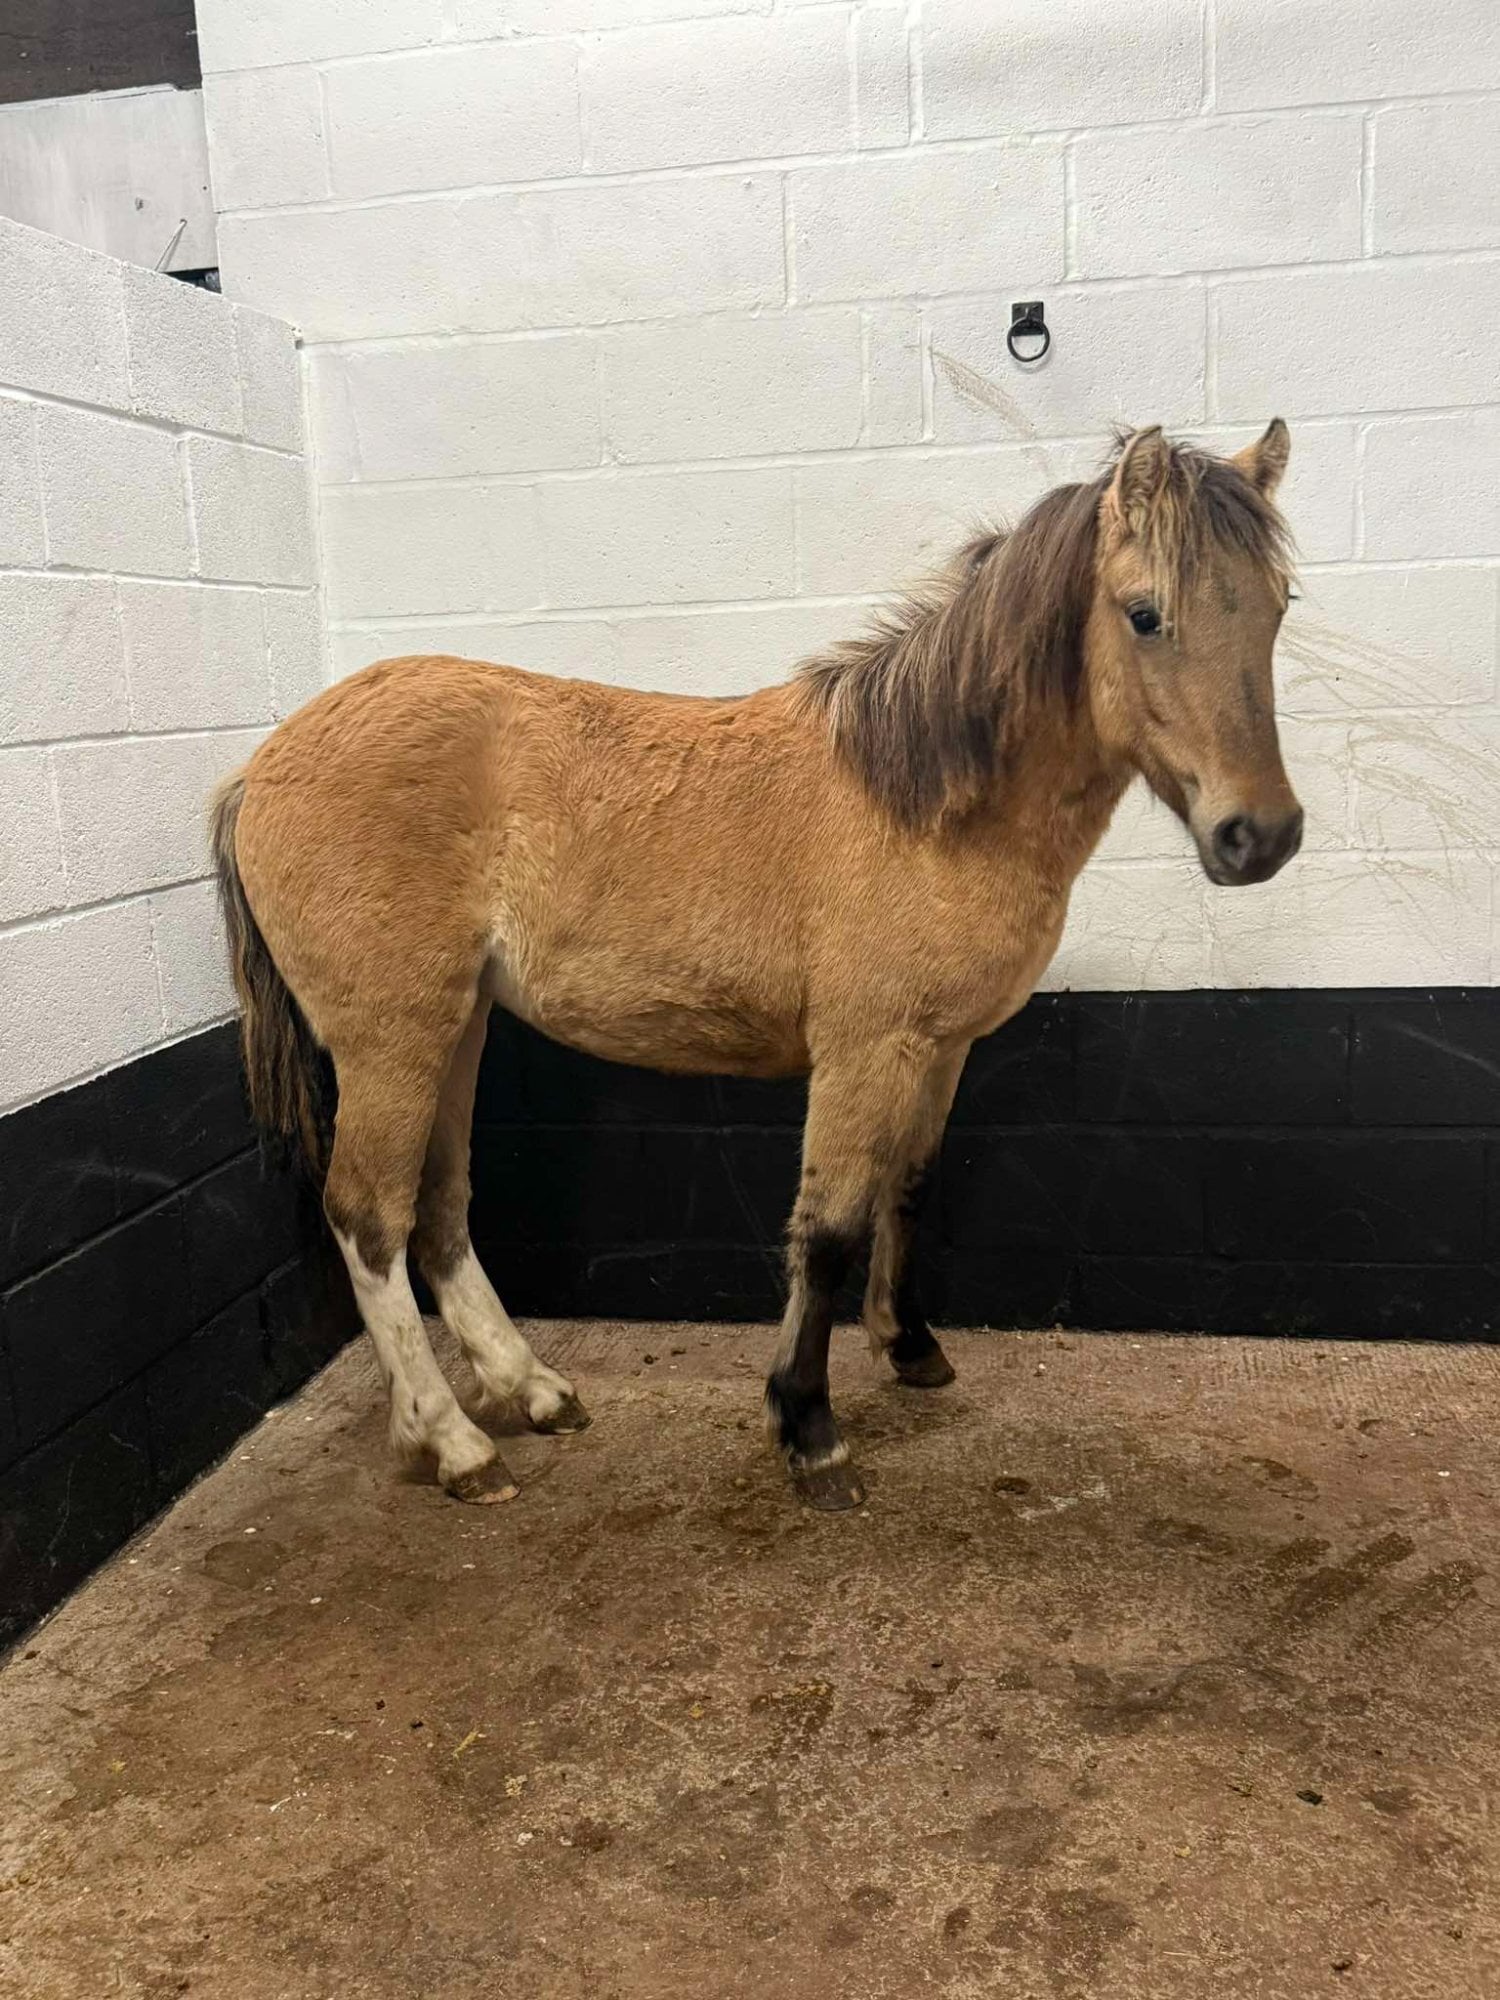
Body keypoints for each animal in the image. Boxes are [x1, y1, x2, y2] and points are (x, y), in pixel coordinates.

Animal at [212, 422, 1303, 1512]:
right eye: (1145, 613)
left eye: (1279, 605)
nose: (1262, 837)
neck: (928, 805)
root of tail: (258, 769)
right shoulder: (867, 1050)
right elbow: (828, 1227)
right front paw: (809, 1426)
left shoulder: (939, 1049)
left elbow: (907, 1187)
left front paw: (910, 1346)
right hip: (393, 1039)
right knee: (370, 1216)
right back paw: (453, 1441)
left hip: (459, 1023)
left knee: (437, 1210)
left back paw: (533, 1388)